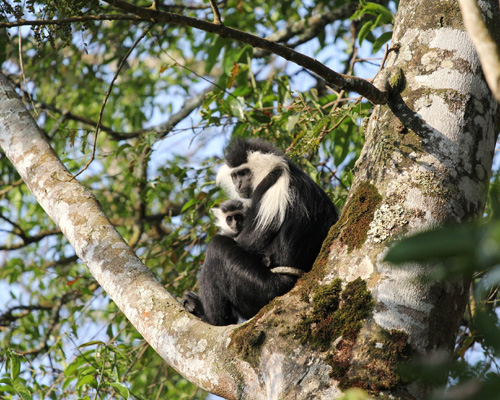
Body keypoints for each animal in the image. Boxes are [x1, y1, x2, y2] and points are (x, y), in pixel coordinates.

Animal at [182, 138, 338, 324]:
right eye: (235, 175)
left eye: (243, 173)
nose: (238, 184)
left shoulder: (268, 186)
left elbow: (247, 242)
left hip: (263, 286)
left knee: (217, 248)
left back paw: (210, 318)